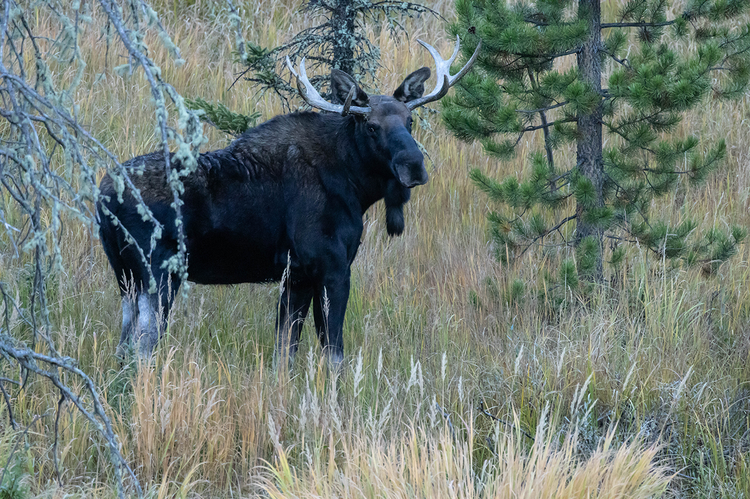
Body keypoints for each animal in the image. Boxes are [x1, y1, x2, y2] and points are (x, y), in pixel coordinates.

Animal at [97, 37, 480, 367]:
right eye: (371, 126)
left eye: (410, 120)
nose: (413, 166)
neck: (355, 186)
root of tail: (103, 197)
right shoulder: (331, 266)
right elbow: (334, 354)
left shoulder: (295, 276)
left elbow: (285, 353)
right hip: (158, 274)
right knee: (142, 347)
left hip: (125, 278)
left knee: (123, 346)